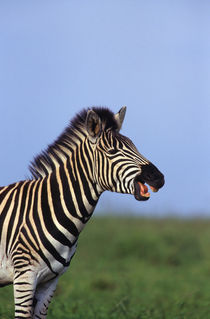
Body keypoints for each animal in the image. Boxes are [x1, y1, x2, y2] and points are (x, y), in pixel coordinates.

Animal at [0, 107, 164, 318]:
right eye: (112, 151)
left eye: (135, 147)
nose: (159, 178)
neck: (50, 208)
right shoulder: (24, 276)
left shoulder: (50, 281)